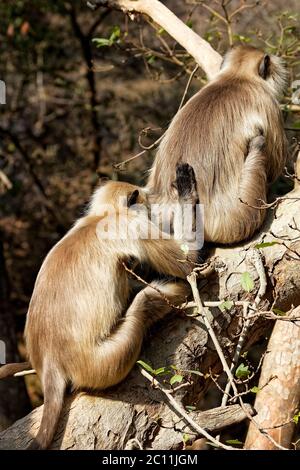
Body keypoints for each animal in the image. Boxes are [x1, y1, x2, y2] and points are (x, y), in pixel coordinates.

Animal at [1, 163, 200, 450]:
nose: (152, 209)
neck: (101, 217)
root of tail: (50, 361)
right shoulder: (133, 226)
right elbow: (188, 261)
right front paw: (186, 188)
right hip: (102, 363)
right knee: (143, 304)